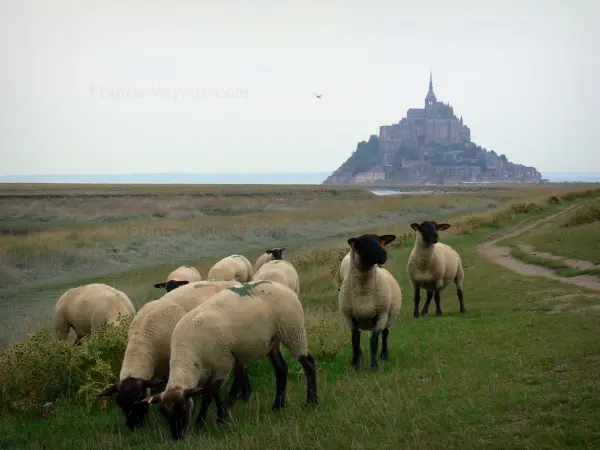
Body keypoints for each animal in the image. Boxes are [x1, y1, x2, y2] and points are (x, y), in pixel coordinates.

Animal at [96, 280, 251, 430]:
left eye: (138, 399)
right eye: (120, 404)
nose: (134, 427)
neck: (144, 338)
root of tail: (234, 282)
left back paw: (245, 395)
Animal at [138, 280, 322, 442]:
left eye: (183, 408)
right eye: (164, 413)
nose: (178, 437)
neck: (188, 356)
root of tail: (280, 286)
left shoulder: (223, 364)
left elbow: (209, 395)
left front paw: (205, 420)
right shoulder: (208, 370)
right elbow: (215, 394)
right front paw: (220, 414)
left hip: (292, 330)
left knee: (308, 363)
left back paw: (312, 400)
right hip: (272, 341)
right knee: (281, 369)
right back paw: (278, 406)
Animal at [338, 234, 404, 370]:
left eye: (380, 241)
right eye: (364, 243)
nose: (384, 253)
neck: (364, 292)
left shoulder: (381, 316)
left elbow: (374, 342)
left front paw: (374, 367)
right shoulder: (350, 317)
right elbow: (355, 341)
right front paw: (355, 365)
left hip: (389, 317)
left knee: (385, 334)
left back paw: (384, 355)